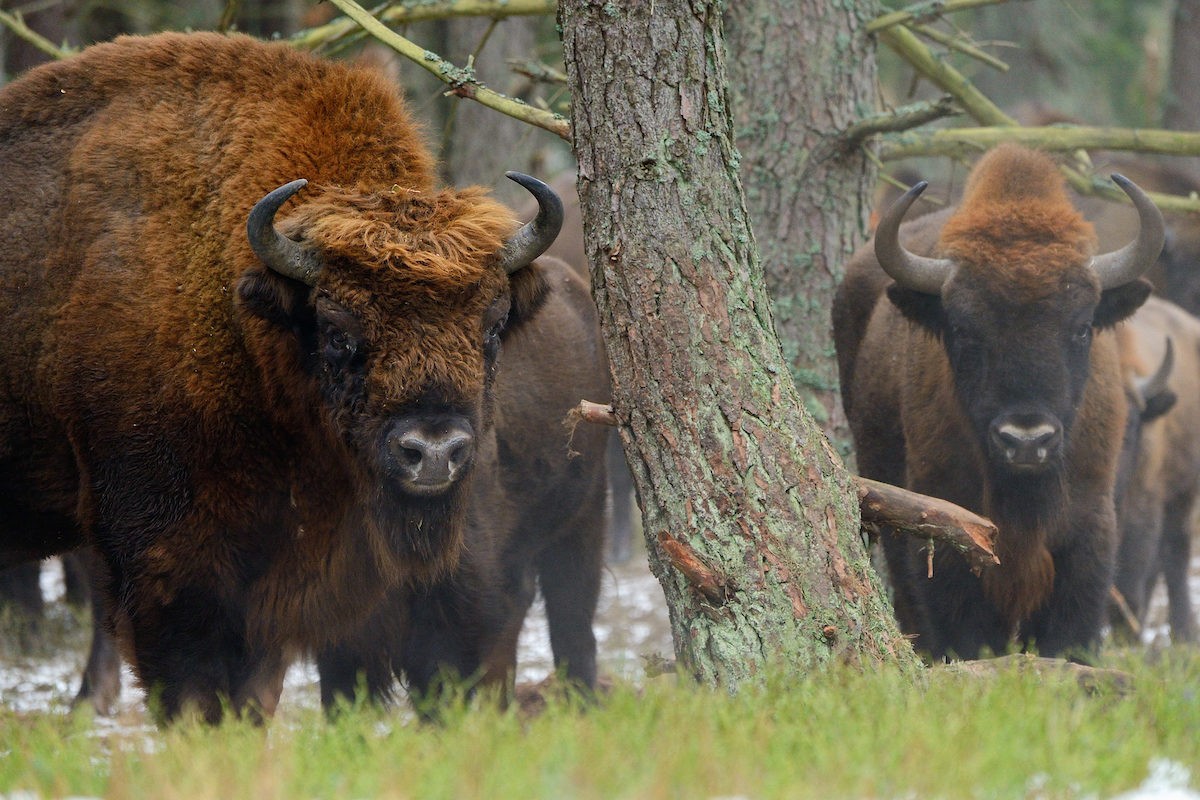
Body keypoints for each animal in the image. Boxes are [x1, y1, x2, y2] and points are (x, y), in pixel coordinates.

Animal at [835, 145, 1161, 662]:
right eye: (963, 330)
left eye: (1082, 327)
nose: (1026, 440)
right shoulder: (944, 531)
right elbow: (963, 630)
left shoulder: (1089, 531)